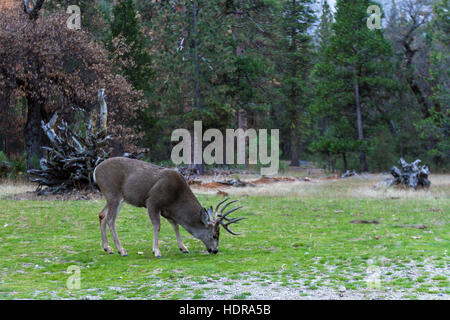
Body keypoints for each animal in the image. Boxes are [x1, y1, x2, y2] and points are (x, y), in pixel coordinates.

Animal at [92, 158, 246, 258]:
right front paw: (156, 251)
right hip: (113, 193)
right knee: (111, 220)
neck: (176, 197)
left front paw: (183, 248)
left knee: (102, 215)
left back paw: (108, 248)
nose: (215, 251)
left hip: (112, 197)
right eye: (214, 235)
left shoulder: (168, 211)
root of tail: (95, 170)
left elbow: (176, 225)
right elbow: (157, 226)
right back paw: (121, 250)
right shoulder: (152, 201)